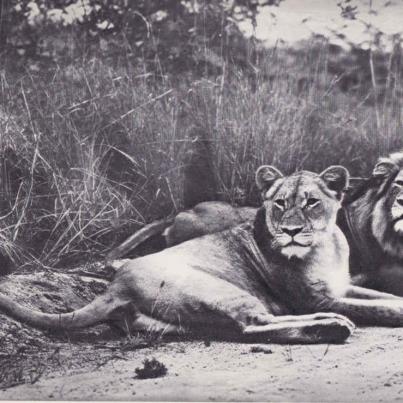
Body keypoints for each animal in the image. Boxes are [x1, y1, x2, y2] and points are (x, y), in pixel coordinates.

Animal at [0, 164, 403, 344]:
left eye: (311, 203)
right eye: (280, 204)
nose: (289, 230)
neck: (326, 245)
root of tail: (115, 287)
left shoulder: (342, 287)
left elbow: (380, 296)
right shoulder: (314, 297)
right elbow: (377, 307)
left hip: (183, 321)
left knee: (251, 325)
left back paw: (329, 323)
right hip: (221, 290)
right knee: (251, 326)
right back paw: (333, 325)